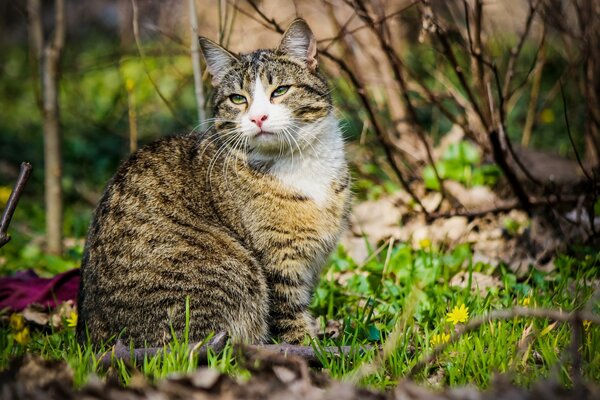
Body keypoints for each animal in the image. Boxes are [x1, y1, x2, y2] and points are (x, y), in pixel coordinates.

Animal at [78, 18, 352, 346]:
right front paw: (310, 348)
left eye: (281, 91)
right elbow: (291, 320)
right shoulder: (277, 264)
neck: (298, 161)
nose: (258, 117)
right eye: (238, 99)